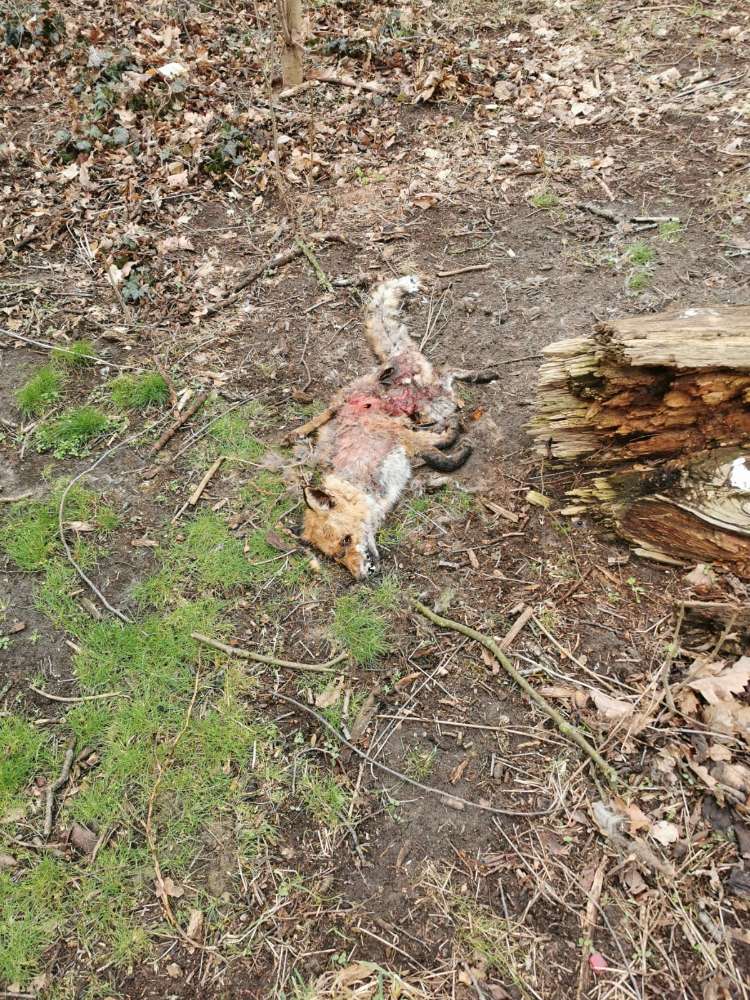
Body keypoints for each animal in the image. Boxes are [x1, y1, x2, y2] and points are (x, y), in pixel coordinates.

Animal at [291, 276, 496, 579]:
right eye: (337, 558)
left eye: (346, 540)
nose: (363, 575)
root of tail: (393, 358)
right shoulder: (406, 442)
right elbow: (435, 451)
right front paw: (454, 437)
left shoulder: (395, 434)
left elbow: (440, 456)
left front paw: (457, 444)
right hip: (429, 403)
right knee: (447, 376)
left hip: (429, 397)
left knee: (450, 370)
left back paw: (482, 375)